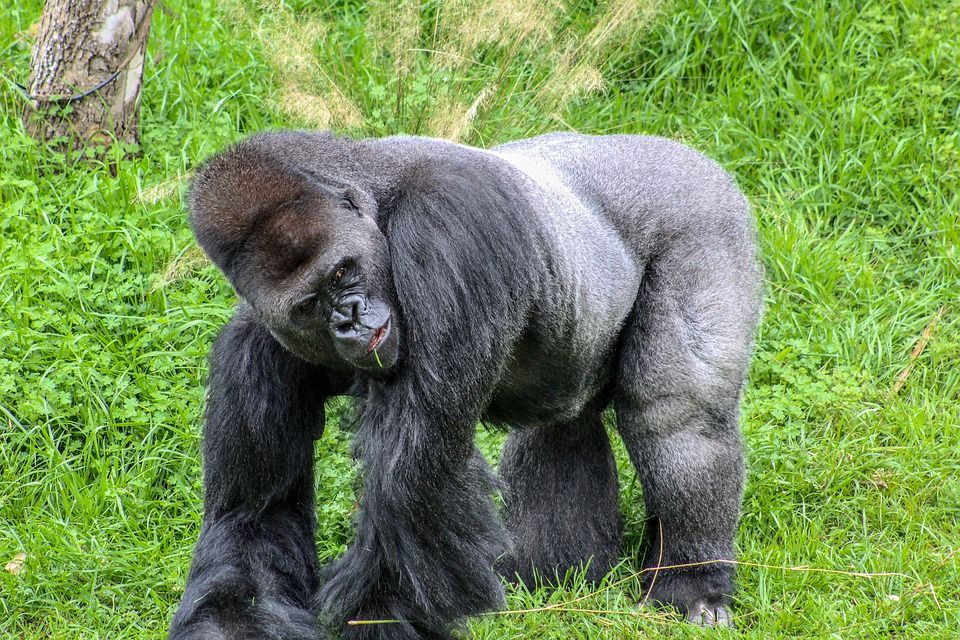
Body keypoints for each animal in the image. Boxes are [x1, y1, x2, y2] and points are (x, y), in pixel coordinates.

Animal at [168, 131, 762, 639]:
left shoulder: (446, 231)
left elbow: (415, 493)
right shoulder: (258, 344)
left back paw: (692, 583)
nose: (350, 320)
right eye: (310, 304)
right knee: (565, 425)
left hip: (703, 217)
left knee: (675, 416)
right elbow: (254, 521)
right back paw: (557, 575)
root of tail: (687, 152)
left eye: (341, 272)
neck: (375, 192)